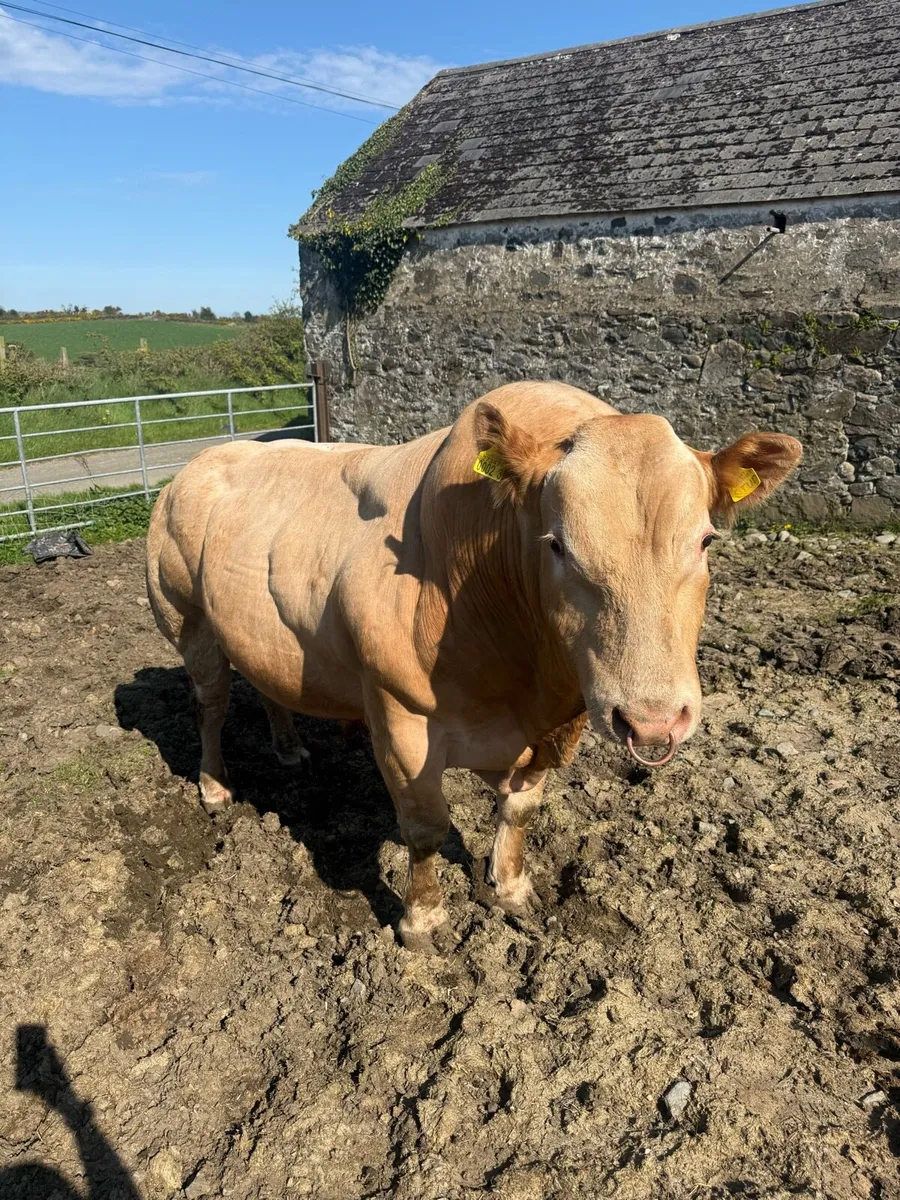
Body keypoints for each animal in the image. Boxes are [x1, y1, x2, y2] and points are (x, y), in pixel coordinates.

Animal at [146, 382, 801, 953]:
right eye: (556, 544)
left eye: (706, 540)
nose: (653, 722)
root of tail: (197, 464)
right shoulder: (398, 714)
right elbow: (424, 825)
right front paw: (423, 920)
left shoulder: (549, 729)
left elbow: (519, 808)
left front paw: (511, 888)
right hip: (187, 619)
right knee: (211, 705)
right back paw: (213, 786)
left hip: (255, 631)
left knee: (268, 685)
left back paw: (287, 748)